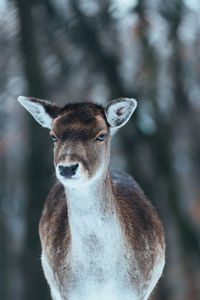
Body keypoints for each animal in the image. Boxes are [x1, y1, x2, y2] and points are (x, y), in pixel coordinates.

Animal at [18, 96, 165, 300]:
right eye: (53, 136)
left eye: (101, 135)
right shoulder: (65, 291)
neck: (99, 276)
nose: (67, 168)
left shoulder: (138, 291)